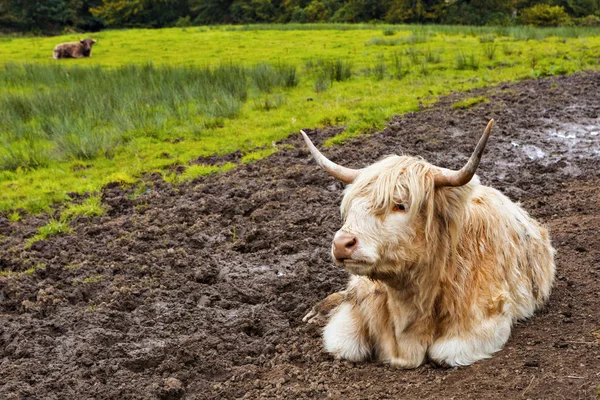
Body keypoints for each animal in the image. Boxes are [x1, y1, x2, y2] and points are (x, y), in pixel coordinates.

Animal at [302, 119, 556, 368]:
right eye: (352, 205)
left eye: (400, 205)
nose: (341, 243)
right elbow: (345, 343)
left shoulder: (487, 319)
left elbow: (443, 353)